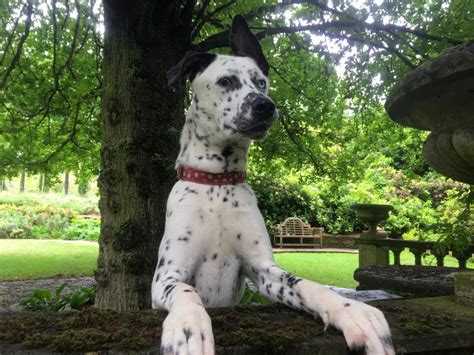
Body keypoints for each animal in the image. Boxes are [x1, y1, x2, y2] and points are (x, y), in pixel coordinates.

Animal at [153, 13, 396, 355]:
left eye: (261, 82)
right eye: (226, 81)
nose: (265, 106)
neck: (218, 185)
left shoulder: (262, 270)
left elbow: (305, 284)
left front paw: (350, 310)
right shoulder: (167, 275)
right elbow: (186, 291)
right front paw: (188, 328)